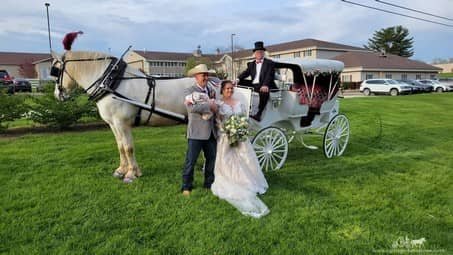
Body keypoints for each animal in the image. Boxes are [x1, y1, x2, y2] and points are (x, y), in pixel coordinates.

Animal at [51, 50, 215, 181]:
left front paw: (131, 174)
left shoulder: (121, 123)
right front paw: (121, 170)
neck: (111, 83)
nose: (57, 95)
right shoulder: (113, 124)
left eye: (56, 70)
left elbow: (128, 147)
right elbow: (120, 147)